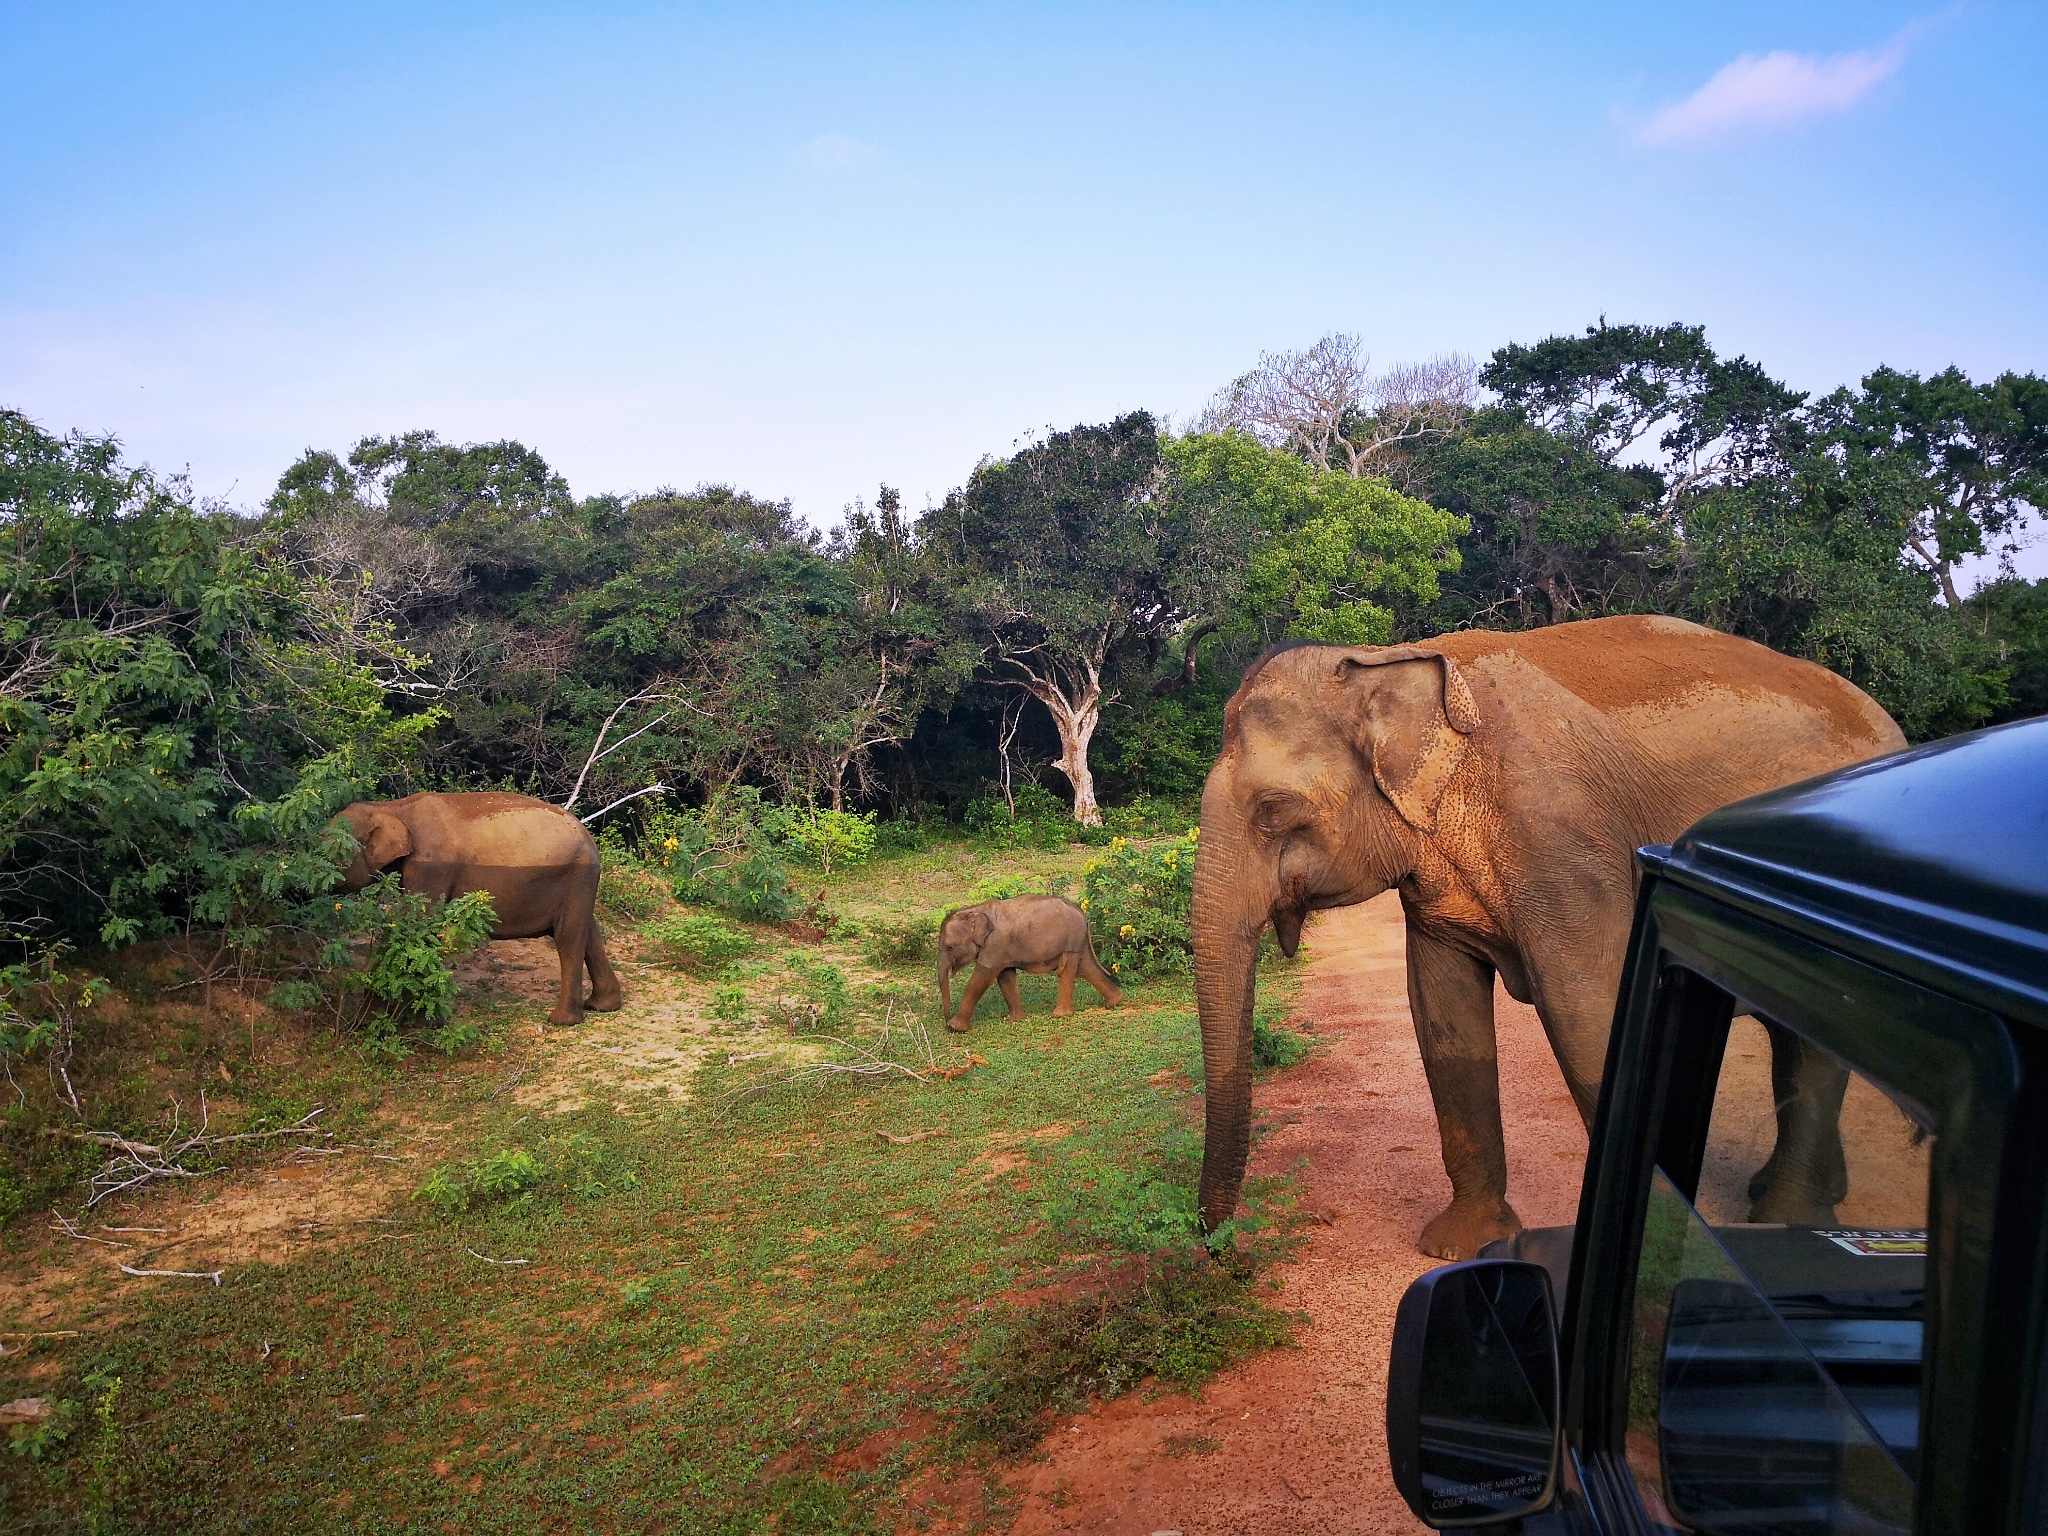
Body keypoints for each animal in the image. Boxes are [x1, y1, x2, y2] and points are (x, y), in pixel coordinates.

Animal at [335, 798, 618, 1028]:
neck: (391, 807)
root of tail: (589, 839)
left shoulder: (430, 866)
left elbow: (416, 925)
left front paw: (380, 1022)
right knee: (588, 931)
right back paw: (602, 1006)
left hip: (578, 875)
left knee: (568, 938)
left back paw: (561, 1020)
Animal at [937, 897, 1130, 1040]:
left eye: (949, 947)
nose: (946, 1022)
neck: (975, 909)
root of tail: (1083, 915)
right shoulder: (1002, 951)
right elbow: (1005, 976)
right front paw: (1014, 1020)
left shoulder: (995, 945)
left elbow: (982, 977)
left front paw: (956, 1027)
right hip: (1077, 943)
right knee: (1086, 968)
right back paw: (1116, 1001)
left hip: (1071, 942)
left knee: (1067, 970)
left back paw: (1060, 1015)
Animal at [1187, 614, 1900, 1261]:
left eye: (1272, 810)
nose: (1221, 1249)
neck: (1385, 658)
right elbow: (1444, 1017)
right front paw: (1460, 1247)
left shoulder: (1563, 847)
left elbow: (1589, 1015)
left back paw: (1791, 1224)